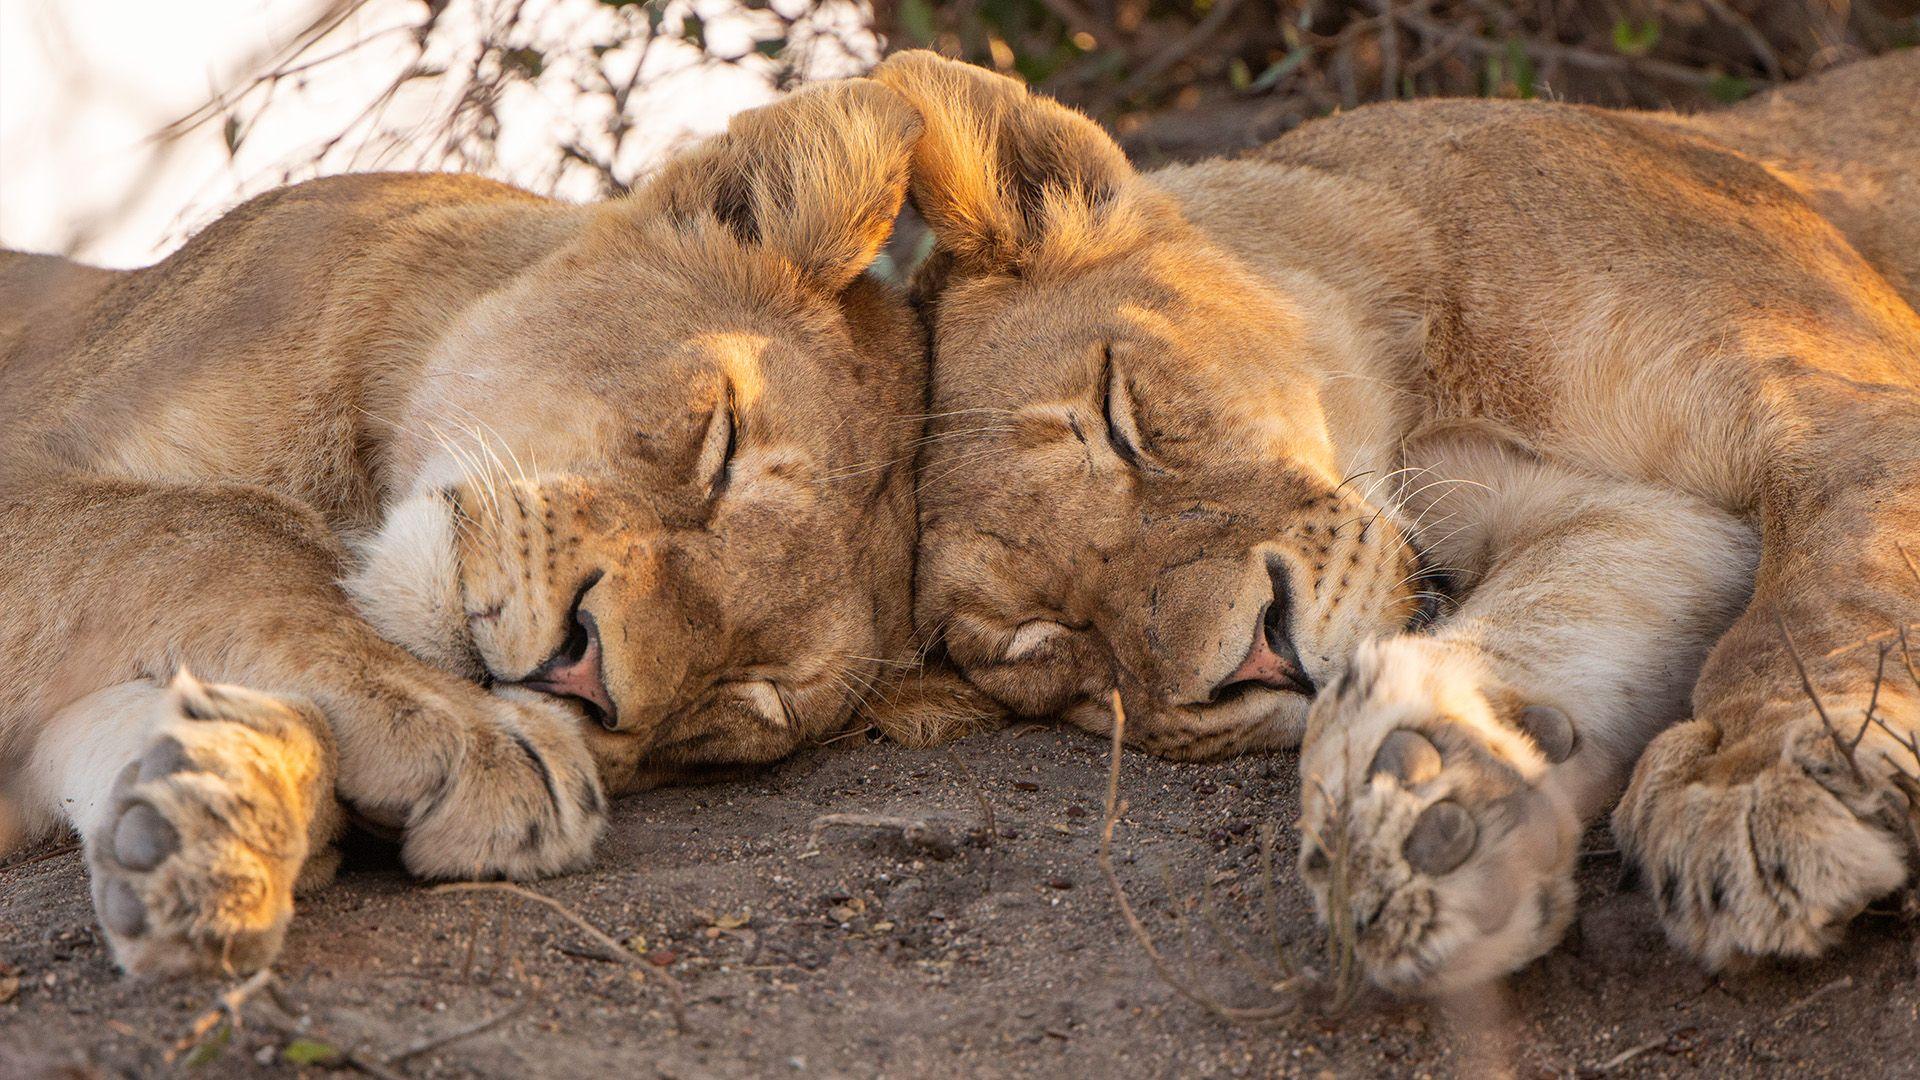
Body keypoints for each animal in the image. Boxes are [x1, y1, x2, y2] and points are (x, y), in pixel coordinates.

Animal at [0, 78, 928, 977]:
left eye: (751, 699)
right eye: (722, 446)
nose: (583, 671)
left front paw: (210, 817)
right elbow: (221, 528)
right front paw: (463, 731)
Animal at [874, 49, 1920, 994]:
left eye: (1115, 417)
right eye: (1038, 642)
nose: (1262, 657)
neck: (1423, 385)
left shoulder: (1843, 399)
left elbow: (1824, 596)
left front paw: (1757, 784)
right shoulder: (1655, 519)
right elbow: (1557, 613)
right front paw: (1425, 810)